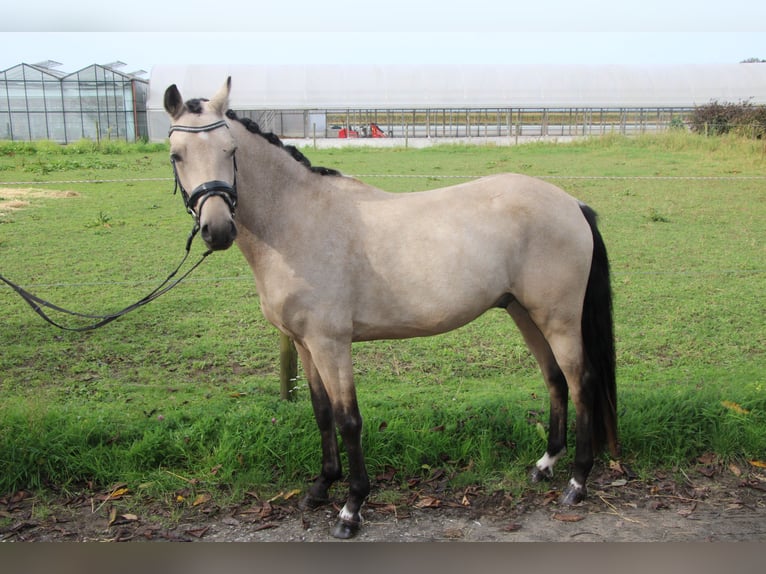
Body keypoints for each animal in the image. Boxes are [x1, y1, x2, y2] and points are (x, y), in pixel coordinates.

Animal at [165, 79, 620, 544]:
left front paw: (351, 508)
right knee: (555, 379)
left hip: (558, 319)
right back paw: (545, 466)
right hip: (524, 313)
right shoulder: (306, 345)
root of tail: (572, 204)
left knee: (581, 382)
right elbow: (321, 412)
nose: (218, 229)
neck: (298, 222)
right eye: (176, 155)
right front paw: (321, 487)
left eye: (231, 150)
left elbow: (348, 419)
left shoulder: (331, 344)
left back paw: (577, 483)